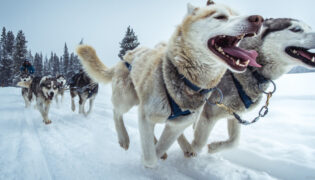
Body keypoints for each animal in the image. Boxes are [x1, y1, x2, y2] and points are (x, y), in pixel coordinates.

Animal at [76, 3, 264, 167]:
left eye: (237, 13)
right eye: (220, 17)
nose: (258, 19)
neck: (187, 79)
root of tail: (127, 55)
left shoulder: (177, 124)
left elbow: (160, 147)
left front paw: (160, 150)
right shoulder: (148, 113)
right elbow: (150, 159)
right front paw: (147, 158)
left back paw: (181, 145)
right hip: (127, 99)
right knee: (117, 112)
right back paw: (124, 138)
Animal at [178, 17, 315, 157]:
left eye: (310, 28)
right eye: (296, 29)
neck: (251, 69)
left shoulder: (234, 114)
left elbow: (234, 141)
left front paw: (214, 147)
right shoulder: (209, 113)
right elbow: (199, 144)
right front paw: (190, 152)